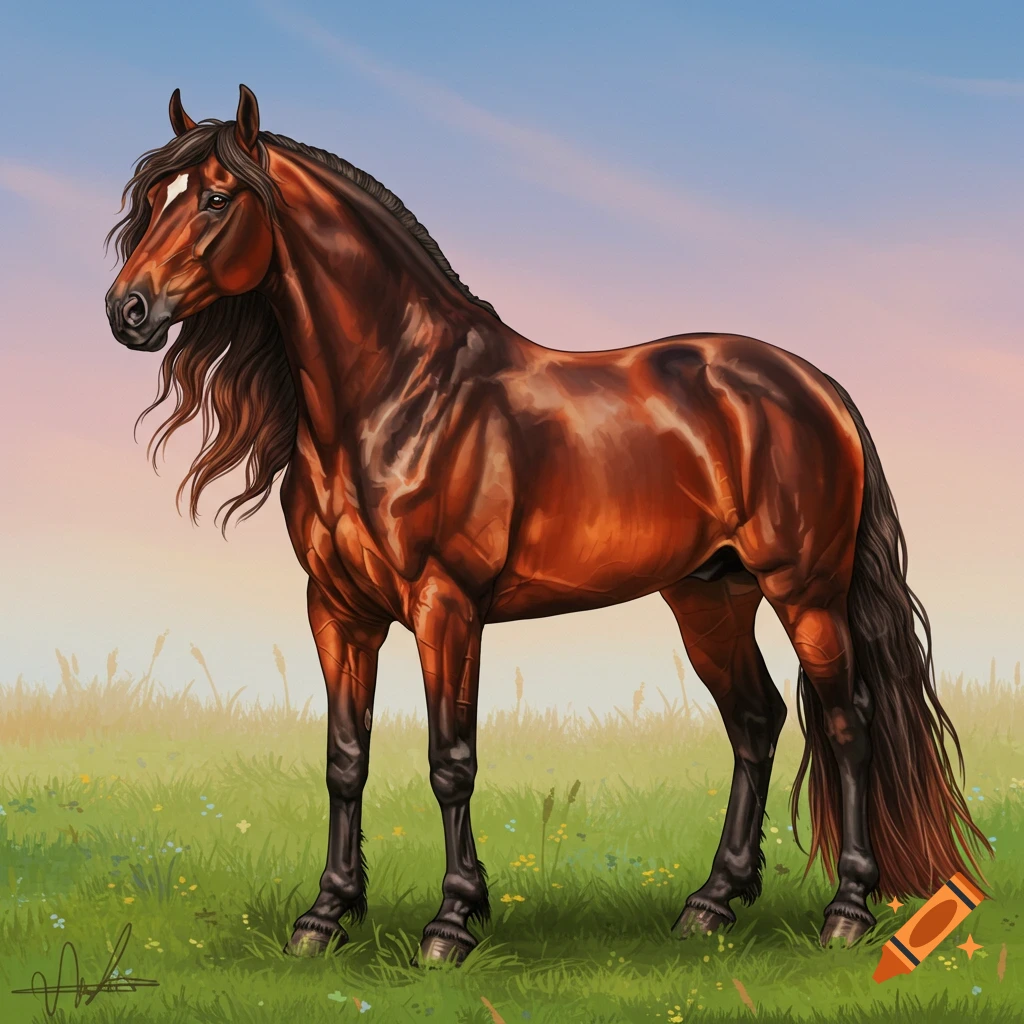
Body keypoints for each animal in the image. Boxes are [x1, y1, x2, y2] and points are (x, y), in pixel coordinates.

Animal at [104, 85, 990, 965]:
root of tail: (816, 387)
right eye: (154, 198)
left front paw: (452, 922)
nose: (127, 309)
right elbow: (344, 760)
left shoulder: (446, 608)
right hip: (711, 597)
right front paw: (325, 916)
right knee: (755, 721)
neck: (400, 396)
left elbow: (450, 761)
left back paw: (848, 911)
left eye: (218, 198)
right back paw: (712, 904)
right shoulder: (338, 611)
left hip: (804, 592)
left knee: (845, 723)